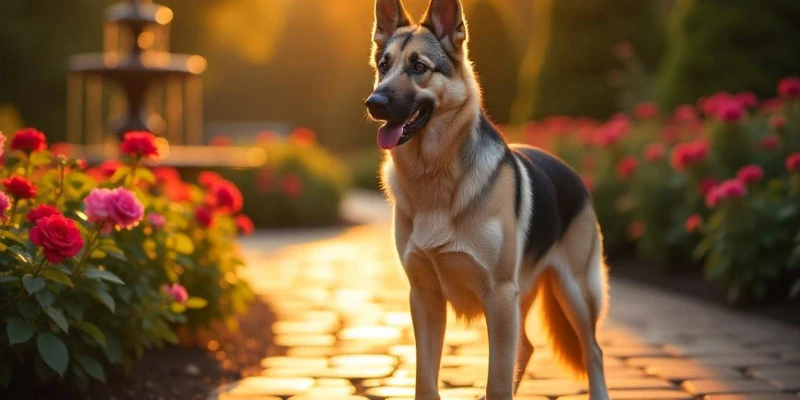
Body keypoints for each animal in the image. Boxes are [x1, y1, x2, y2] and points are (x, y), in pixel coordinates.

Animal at [366, 0, 608, 398]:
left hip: (574, 291)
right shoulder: (424, 298)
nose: (374, 103)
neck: (436, 179)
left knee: (593, 350)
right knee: (527, 346)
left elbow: (497, 379)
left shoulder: (499, 295)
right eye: (383, 65)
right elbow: (425, 379)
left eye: (419, 67)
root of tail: (569, 169)